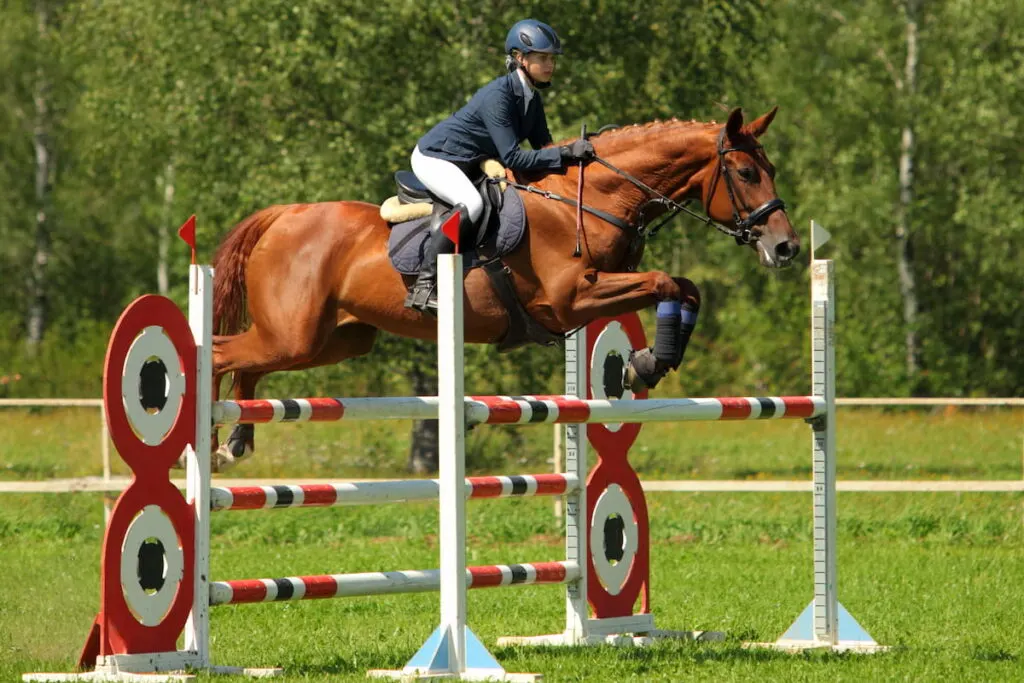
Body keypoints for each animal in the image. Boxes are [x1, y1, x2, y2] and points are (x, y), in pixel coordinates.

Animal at [209, 107, 798, 471]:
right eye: (746, 173)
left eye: (769, 167)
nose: (787, 247)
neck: (597, 197)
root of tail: (284, 215)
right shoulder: (572, 299)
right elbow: (664, 281)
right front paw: (646, 365)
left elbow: (687, 287)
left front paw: (652, 361)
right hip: (295, 335)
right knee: (218, 354)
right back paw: (210, 445)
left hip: (333, 340)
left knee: (248, 363)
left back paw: (239, 439)